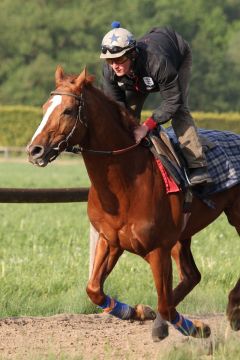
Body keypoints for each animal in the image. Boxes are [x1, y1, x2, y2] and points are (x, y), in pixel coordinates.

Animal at [26, 66, 240, 338]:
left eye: (68, 110)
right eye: (44, 107)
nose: (35, 150)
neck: (125, 186)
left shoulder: (158, 248)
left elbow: (165, 304)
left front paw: (191, 326)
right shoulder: (111, 240)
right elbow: (94, 290)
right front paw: (138, 312)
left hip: (234, 216)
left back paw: (233, 308)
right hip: (181, 236)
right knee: (192, 275)